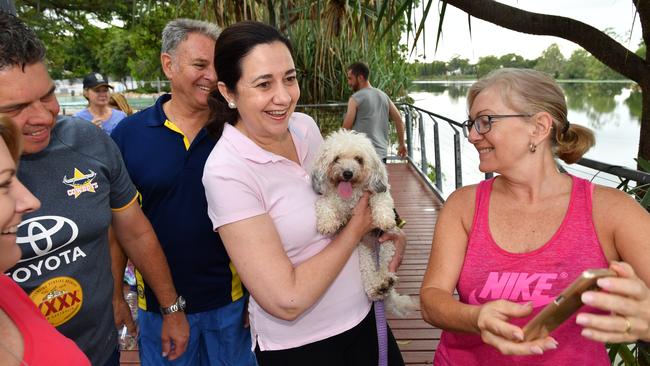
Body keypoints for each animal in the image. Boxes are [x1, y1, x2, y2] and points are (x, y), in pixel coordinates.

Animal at [310, 129, 412, 318]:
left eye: (359, 159)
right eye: (336, 158)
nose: (347, 173)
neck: (351, 196)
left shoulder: (378, 193)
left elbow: (381, 198)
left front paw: (384, 218)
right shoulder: (330, 200)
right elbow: (324, 204)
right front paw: (328, 223)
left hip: (387, 246)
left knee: (386, 268)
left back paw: (384, 283)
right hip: (361, 252)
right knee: (368, 274)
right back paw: (377, 288)